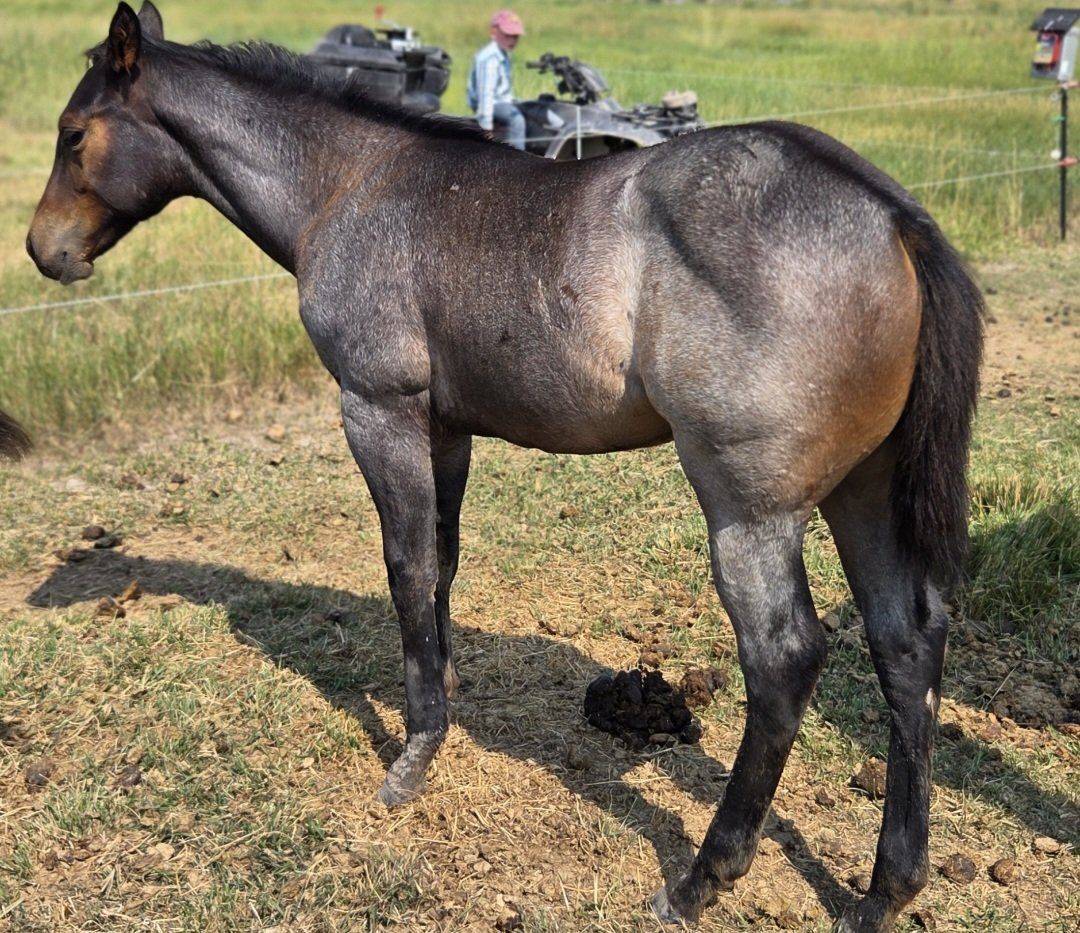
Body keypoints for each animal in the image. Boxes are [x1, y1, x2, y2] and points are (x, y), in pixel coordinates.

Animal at [27, 4, 983, 929]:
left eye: (73, 133)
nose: (44, 250)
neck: (348, 183)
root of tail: (893, 217)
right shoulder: (446, 430)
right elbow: (443, 563)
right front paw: (443, 686)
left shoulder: (377, 411)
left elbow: (407, 568)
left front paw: (414, 753)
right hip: (863, 491)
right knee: (906, 642)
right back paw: (884, 891)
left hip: (750, 510)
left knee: (783, 660)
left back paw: (700, 879)